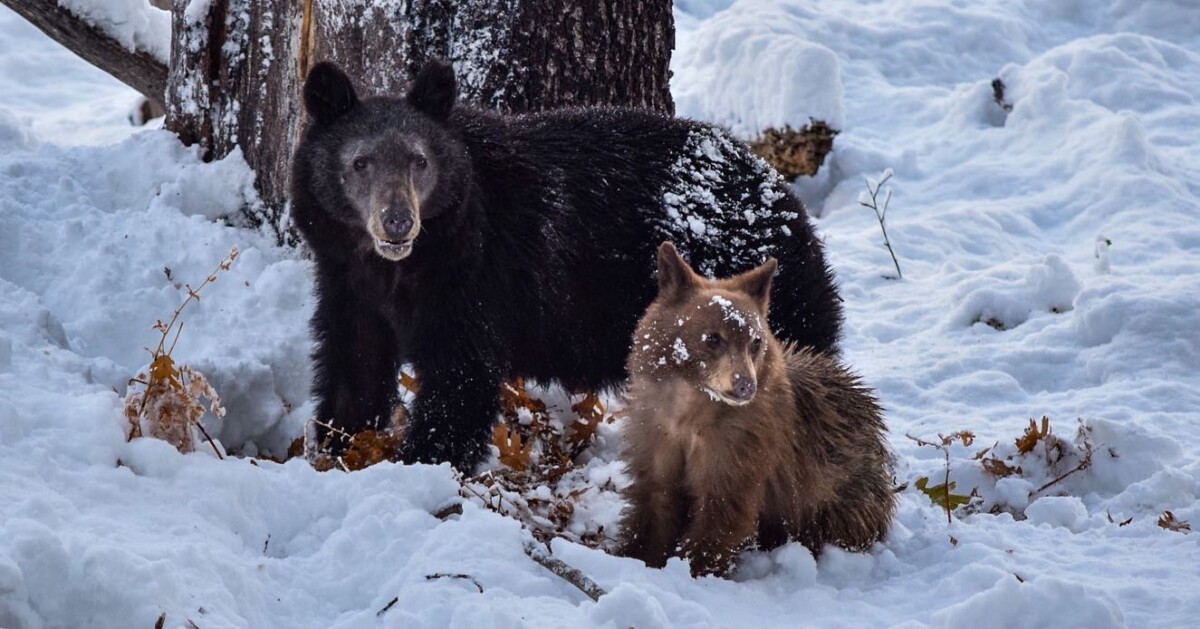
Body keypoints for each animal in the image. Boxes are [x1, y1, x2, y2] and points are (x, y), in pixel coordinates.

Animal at [290, 60, 844, 470]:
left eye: (419, 160)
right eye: (359, 163)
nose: (397, 222)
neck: (404, 268)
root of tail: (789, 204)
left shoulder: (478, 278)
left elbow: (460, 377)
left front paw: (421, 462)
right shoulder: (347, 284)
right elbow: (354, 367)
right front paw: (337, 449)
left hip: (766, 309)